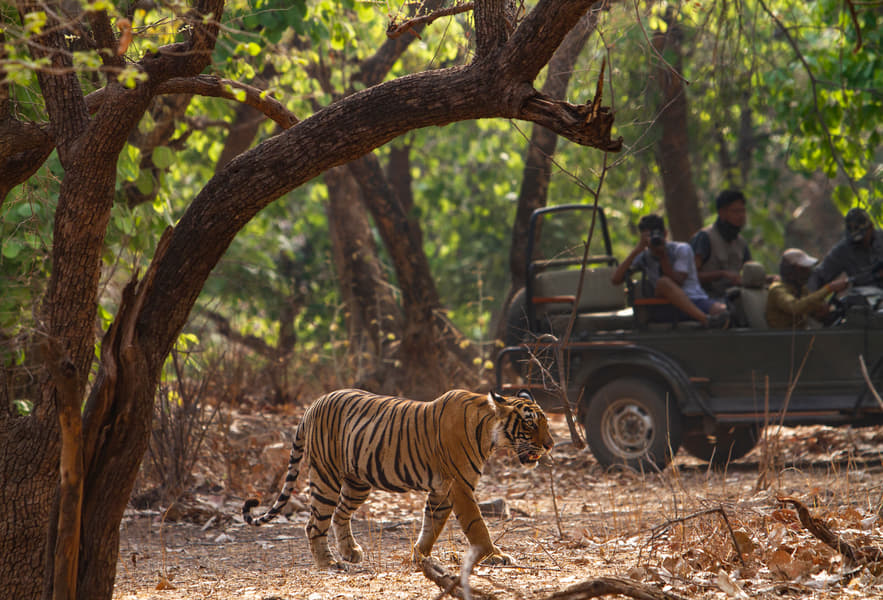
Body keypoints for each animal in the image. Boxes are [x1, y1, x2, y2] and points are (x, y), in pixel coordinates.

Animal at [241, 387, 553, 569]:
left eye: (546, 422)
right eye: (529, 423)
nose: (550, 445)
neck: (489, 432)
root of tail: (312, 405)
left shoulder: (442, 491)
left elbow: (432, 525)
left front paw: (420, 556)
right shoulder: (460, 488)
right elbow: (477, 526)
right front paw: (495, 556)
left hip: (357, 483)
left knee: (340, 514)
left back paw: (350, 552)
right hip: (325, 477)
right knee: (314, 523)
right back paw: (328, 563)